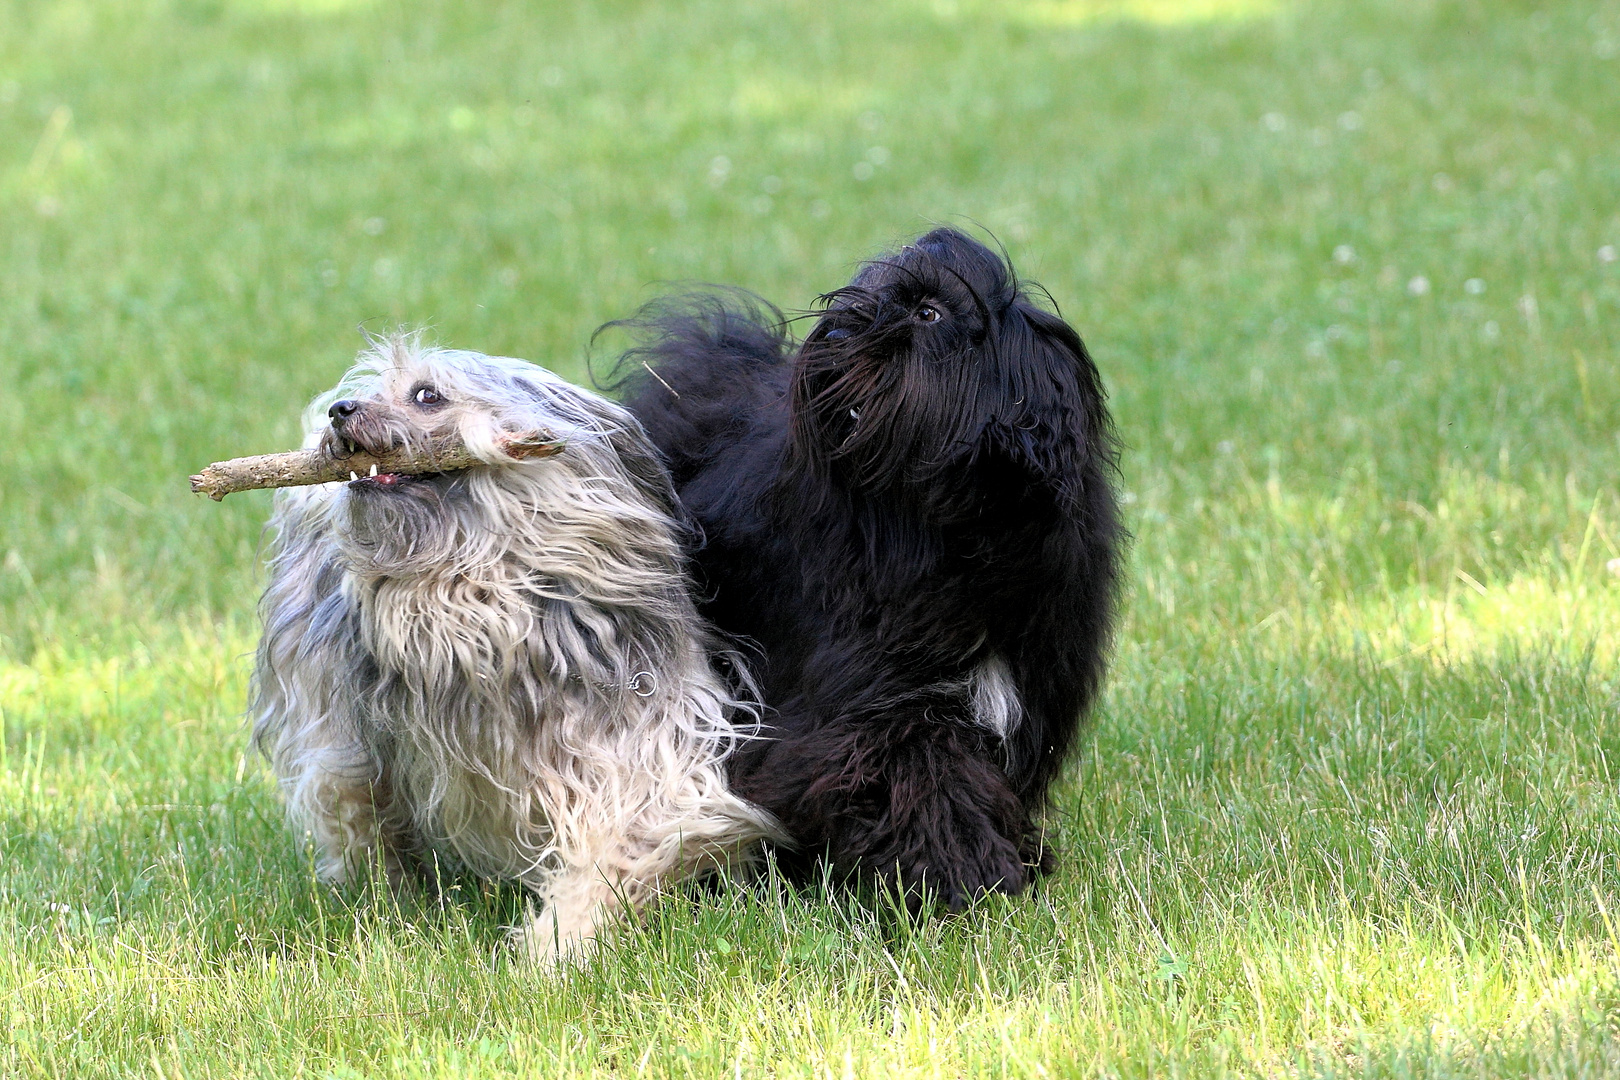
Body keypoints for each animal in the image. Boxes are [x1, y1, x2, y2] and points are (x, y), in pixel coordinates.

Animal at [612, 228, 1121, 913]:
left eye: (929, 314)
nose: (836, 331)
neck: (943, 532)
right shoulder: (868, 702)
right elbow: (915, 768)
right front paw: (963, 875)